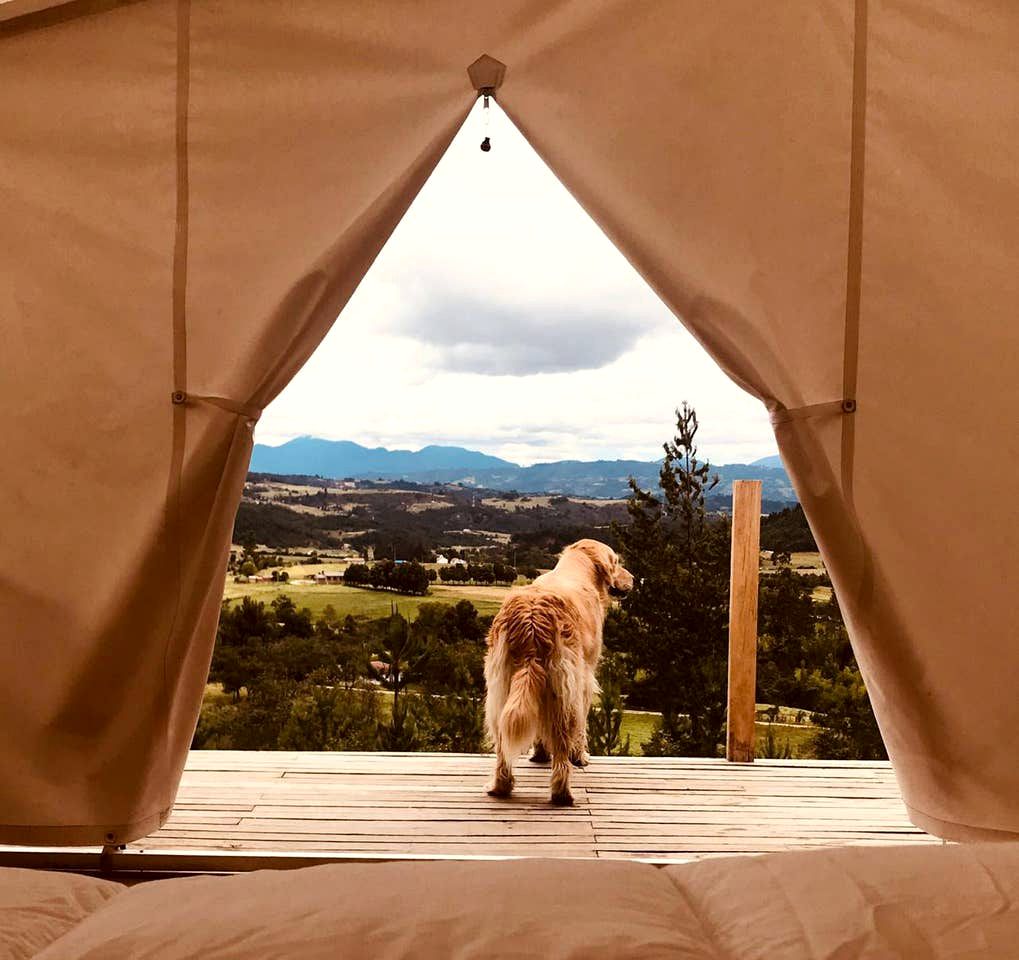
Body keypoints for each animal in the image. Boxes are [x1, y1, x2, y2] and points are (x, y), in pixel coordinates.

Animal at [480, 542, 631, 803]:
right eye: (616, 562)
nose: (633, 578)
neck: (578, 569)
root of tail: (531, 618)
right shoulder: (584, 679)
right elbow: (581, 726)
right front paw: (580, 756)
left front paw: (539, 753)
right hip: (564, 690)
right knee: (562, 741)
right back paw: (562, 792)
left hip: (500, 690)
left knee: (503, 743)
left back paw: (501, 786)